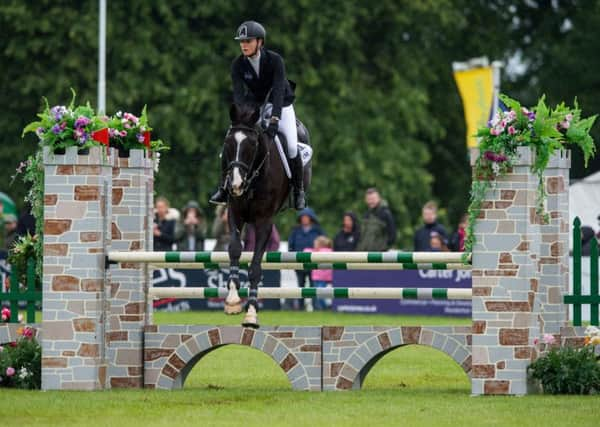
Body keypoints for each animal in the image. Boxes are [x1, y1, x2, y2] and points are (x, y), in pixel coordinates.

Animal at [221, 103, 314, 328]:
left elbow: (255, 266)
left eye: (251, 145)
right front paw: (233, 300)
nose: (235, 184)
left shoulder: (264, 221)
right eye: (227, 144)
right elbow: (235, 249)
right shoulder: (234, 213)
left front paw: (251, 312)